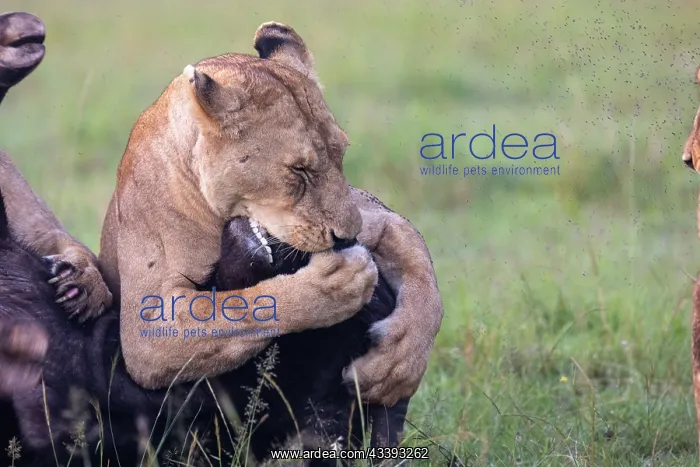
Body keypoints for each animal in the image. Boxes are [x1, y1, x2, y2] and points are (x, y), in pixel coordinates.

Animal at [99, 21, 444, 406]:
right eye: (298, 170)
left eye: (340, 153)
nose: (347, 236)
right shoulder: (148, 334)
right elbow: (245, 307)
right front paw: (333, 284)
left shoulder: (366, 214)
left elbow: (415, 256)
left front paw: (399, 363)